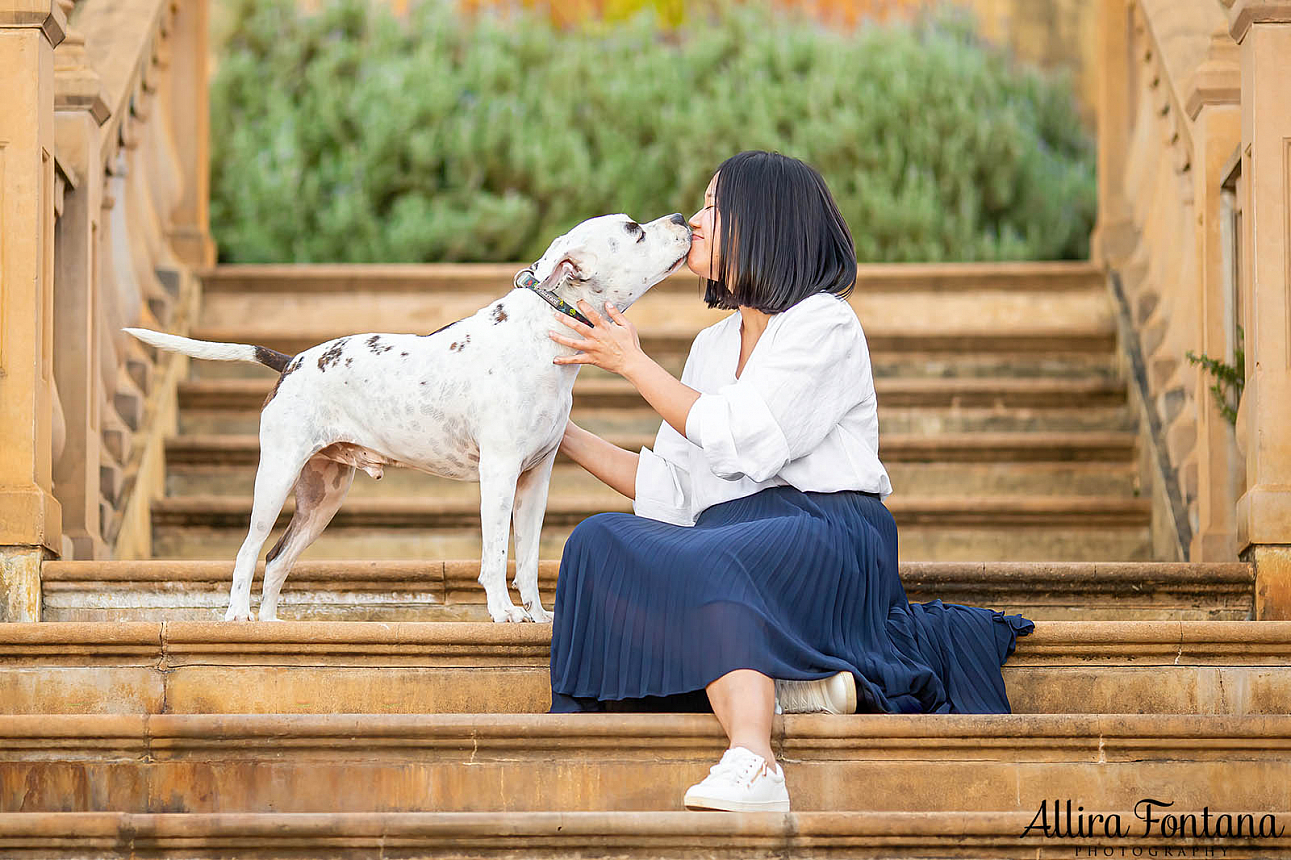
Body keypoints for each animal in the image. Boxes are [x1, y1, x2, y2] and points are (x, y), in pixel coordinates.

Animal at [128, 211, 697, 619]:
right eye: (633, 230)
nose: (679, 217)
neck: (544, 333)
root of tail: (290, 360)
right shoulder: (499, 472)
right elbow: (496, 555)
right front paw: (503, 614)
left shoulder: (536, 479)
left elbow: (530, 557)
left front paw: (537, 616)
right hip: (276, 477)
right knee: (249, 553)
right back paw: (237, 619)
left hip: (322, 497)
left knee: (277, 560)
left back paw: (269, 625)